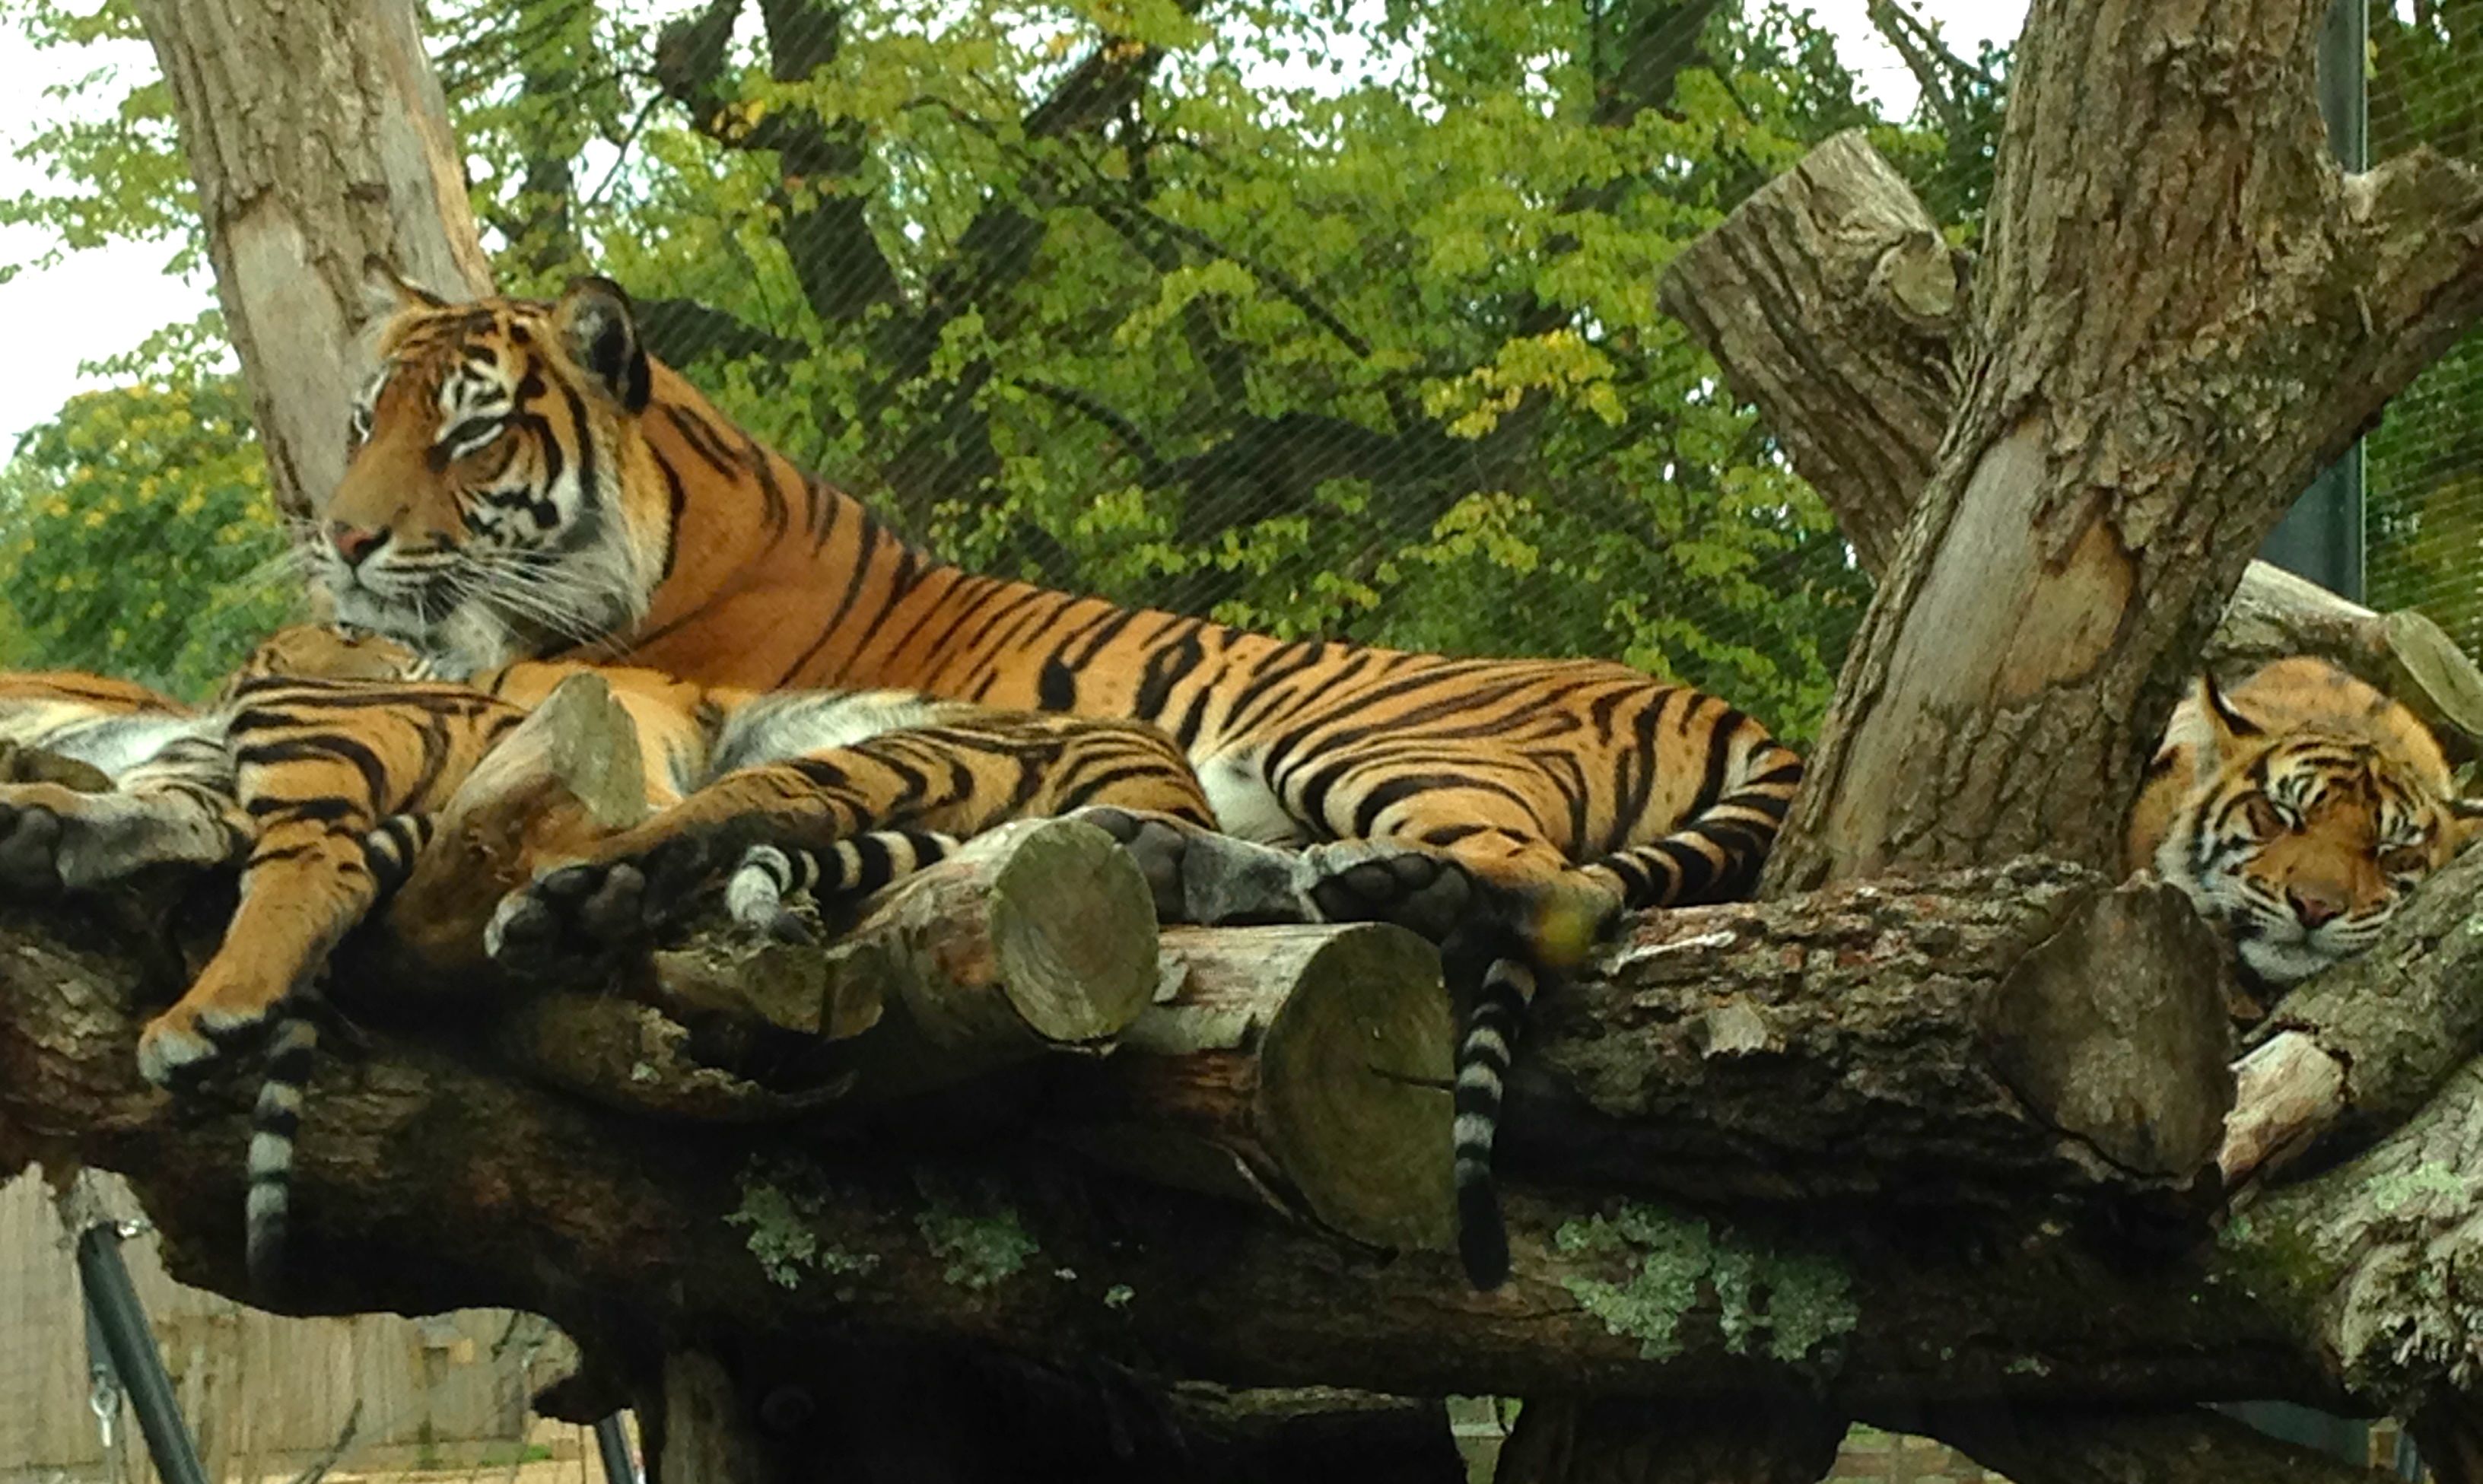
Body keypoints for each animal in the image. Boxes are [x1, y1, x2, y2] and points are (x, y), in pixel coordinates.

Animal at [310, 268, 1817, 1290]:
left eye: (470, 436)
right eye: (360, 424)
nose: (338, 540)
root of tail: (1718, 699)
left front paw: (578, 890)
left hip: (1364, 736)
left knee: (1551, 892)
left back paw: (1374, 881)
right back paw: (1182, 859)